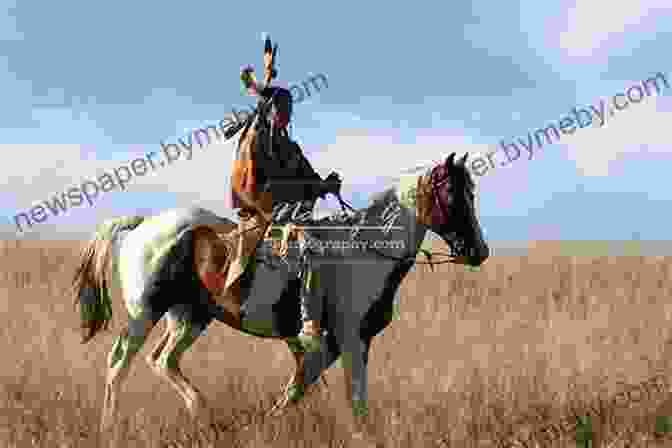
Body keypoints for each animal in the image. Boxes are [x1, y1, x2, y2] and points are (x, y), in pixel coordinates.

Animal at [73, 152, 488, 446]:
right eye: (453, 195)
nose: (478, 252)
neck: (368, 252)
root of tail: (143, 225)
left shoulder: (338, 344)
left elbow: (298, 386)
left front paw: (266, 423)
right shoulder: (350, 340)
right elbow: (352, 396)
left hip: (190, 317)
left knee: (163, 361)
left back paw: (204, 415)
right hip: (145, 312)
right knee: (120, 363)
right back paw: (110, 428)